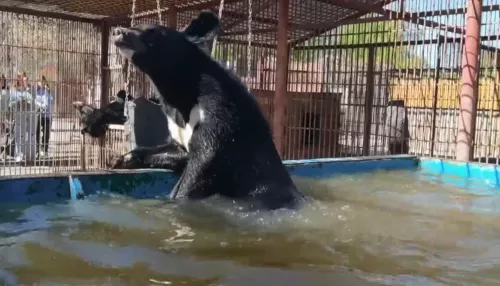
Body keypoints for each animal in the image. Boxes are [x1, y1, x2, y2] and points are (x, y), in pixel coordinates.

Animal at [110, 11, 304, 210]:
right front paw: (120, 160)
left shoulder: (217, 104)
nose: (118, 31)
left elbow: (206, 154)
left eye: (151, 32)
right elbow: (177, 151)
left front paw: (178, 196)